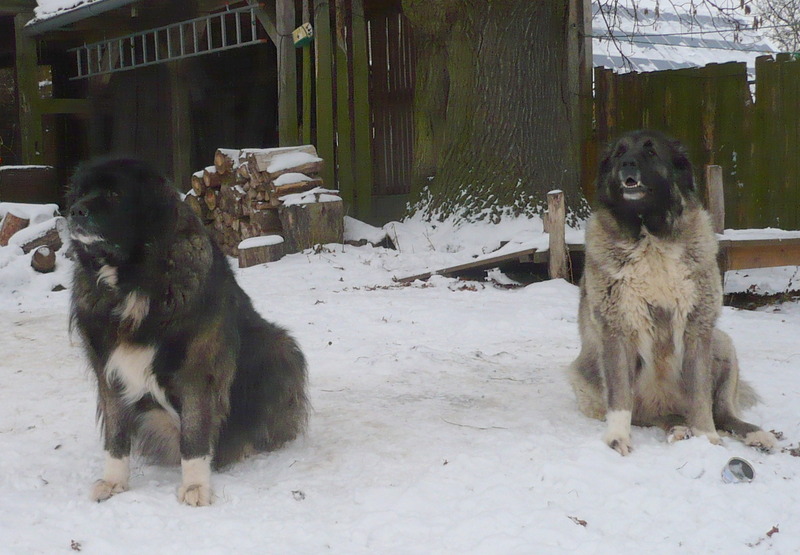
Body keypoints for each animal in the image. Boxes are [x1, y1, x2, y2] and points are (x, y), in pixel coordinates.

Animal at [67, 158, 308, 505]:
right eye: (81, 193)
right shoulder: (109, 369)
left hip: (280, 348)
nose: (75, 211)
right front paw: (113, 481)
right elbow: (115, 435)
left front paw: (196, 487)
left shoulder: (197, 371)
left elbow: (194, 436)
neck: (133, 279)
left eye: (114, 194)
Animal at [569, 130, 775, 455]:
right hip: (585, 375)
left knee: (723, 412)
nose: (627, 164)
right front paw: (617, 438)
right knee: (655, 415)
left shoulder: (697, 327)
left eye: (651, 152)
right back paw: (678, 429)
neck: (649, 236)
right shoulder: (617, 329)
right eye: (619, 153)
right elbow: (620, 396)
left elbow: (700, 396)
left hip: (723, 343)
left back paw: (755, 434)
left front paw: (707, 439)